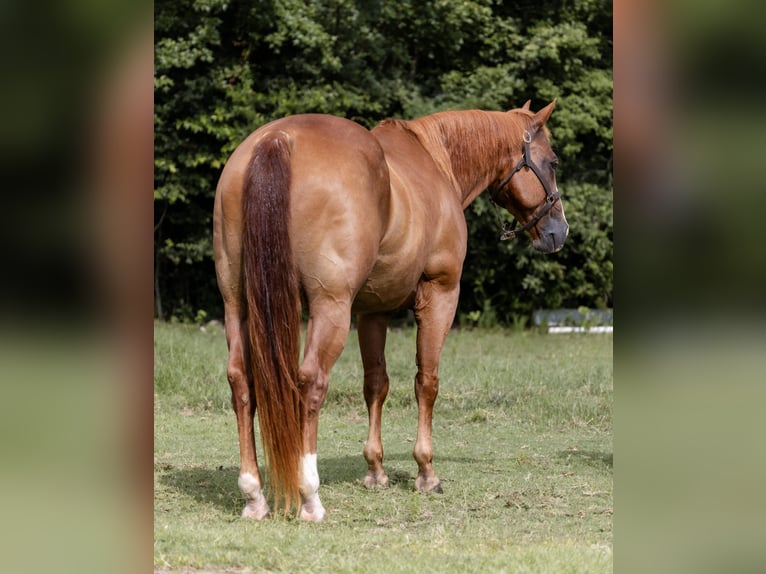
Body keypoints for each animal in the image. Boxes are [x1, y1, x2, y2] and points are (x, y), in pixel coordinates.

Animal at [213, 100, 568, 521]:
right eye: (552, 161)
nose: (559, 231)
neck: (436, 162)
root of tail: (277, 139)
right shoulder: (440, 293)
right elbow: (426, 382)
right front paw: (426, 472)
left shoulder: (372, 311)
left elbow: (376, 384)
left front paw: (375, 470)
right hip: (330, 307)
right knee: (312, 381)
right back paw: (310, 495)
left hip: (238, 304)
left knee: (241, 381)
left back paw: (254, 493)